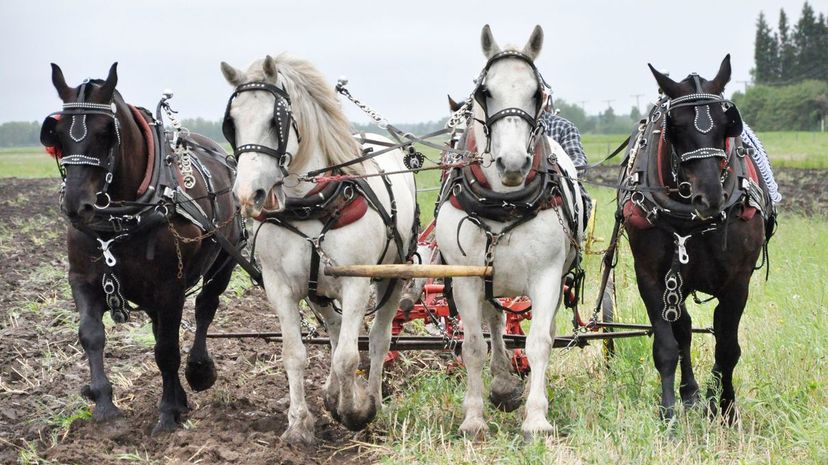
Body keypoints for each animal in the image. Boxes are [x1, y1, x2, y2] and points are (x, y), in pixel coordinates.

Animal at [44, 63, 246, 434]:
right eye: (57, 134)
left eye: (106, 133)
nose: (76, 205)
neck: (118, 219)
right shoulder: (83, 279)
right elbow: (91, 335)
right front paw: (104, 404)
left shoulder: (170, 287)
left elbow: (166, 350)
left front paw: (167, 413)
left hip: (224, 260)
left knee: (205, 309)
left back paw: (198, 371)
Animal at [220, 54, 418, 442]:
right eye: (231, 123)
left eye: (275, 120)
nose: (248, 196)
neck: (310, 205)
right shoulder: (279, 286)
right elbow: (294, 354)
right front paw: (299, 424)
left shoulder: (357, 282)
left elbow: (348, 357)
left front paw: (355, 411)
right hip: (319, 290)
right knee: (335, 329)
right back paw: (332, 393)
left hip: (393, 277)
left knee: (378, 338)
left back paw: (373, 399)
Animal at [436, 24, 584, 438]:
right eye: (485, 92)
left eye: (537, 93)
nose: (514, 163)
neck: (502, 203)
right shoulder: (465, 277)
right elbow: (473, 345)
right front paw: (473, 418)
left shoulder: (547, 275)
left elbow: (538, 343)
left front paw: (536, 418)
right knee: (496, 321)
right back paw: (502, 384)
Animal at [616, 56, 772, 422]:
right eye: (676, 128)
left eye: (727, 124)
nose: (710, 197)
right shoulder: (651, 276)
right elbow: (666, 345)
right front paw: (669, 411)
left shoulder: (738, 281)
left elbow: (727, 347)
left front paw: (725, 408)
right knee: (683, 329)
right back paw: (689, 394)